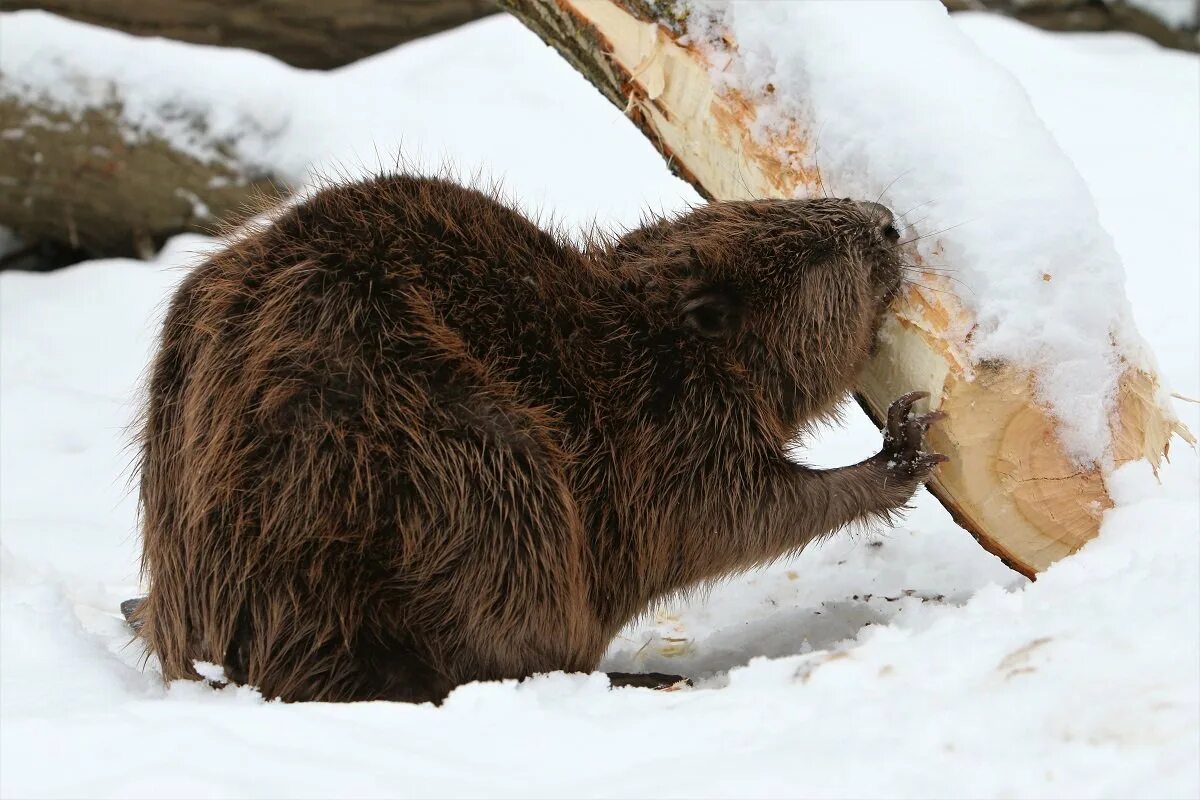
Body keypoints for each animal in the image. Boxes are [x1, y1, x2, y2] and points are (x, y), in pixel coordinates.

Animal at [129, 173, 945, 700]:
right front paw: (905, 444)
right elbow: (726, 516)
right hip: (472, 460)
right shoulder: (669, 425)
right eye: (817, 246)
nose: (887, 220)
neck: (644, 341)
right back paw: (641, 675)